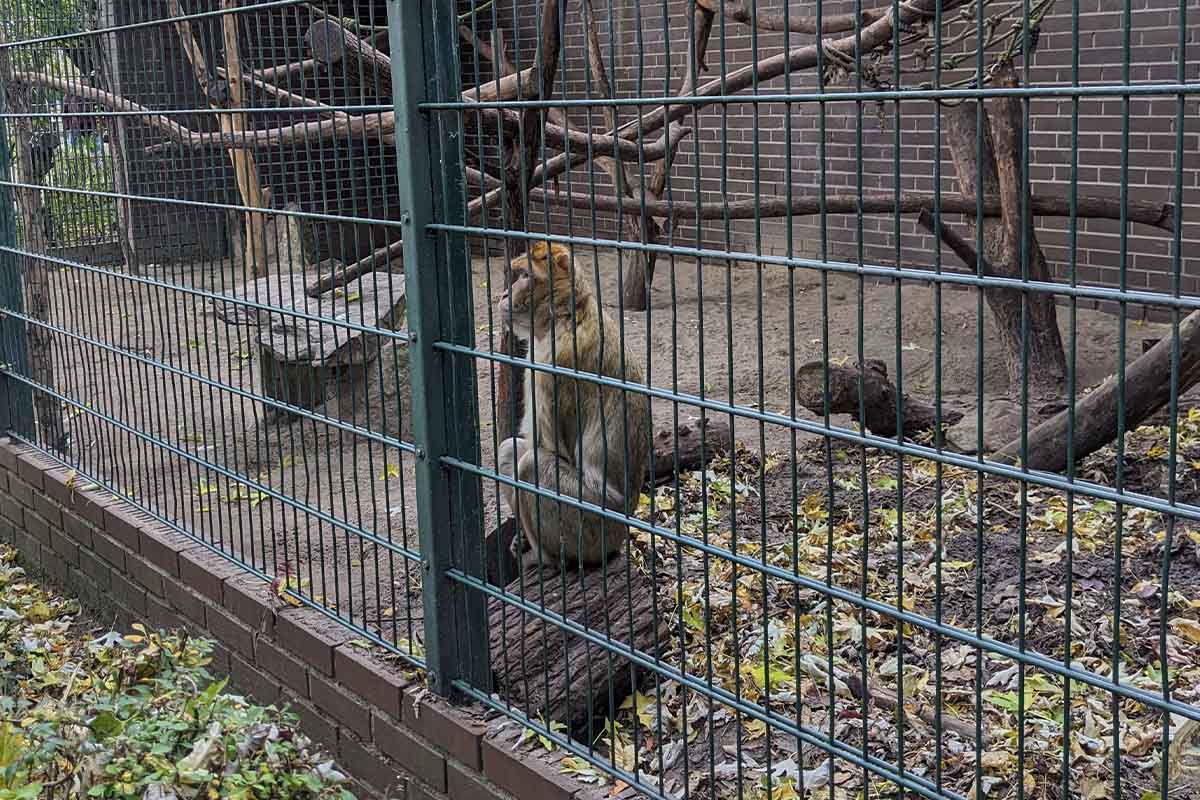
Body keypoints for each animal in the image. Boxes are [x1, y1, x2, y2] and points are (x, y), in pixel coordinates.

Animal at [494, 241, 652, 573]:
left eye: (525, 276)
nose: (503, 295)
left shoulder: (551, 369)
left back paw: (548, 559)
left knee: (531, 464)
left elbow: (551, 450)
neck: (567, 314)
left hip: (593, 531)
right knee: (511, 450)